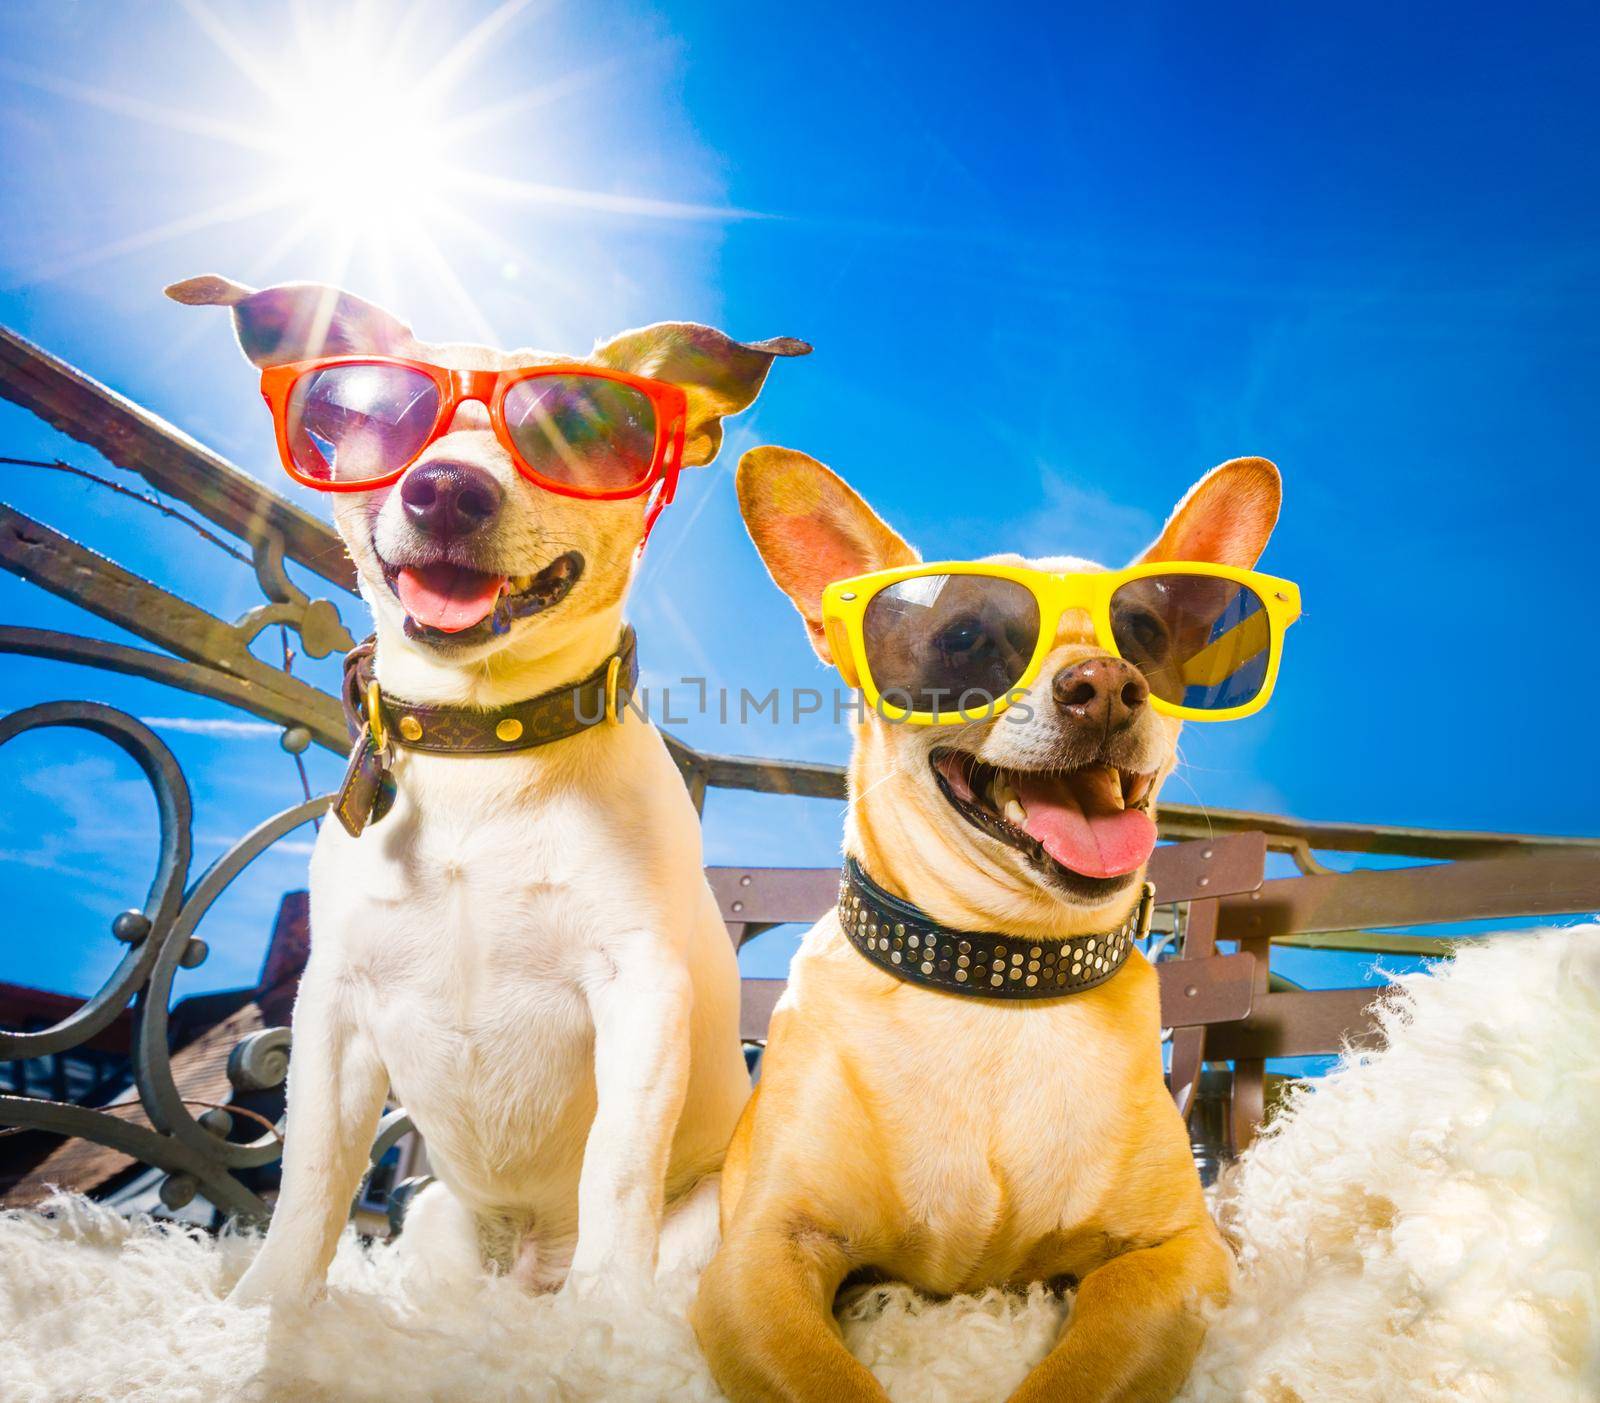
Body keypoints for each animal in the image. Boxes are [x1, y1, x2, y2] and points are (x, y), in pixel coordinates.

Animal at [168, 273, 806, 1305]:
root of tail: (527, 1261)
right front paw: (263, 1309)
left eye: (576, 427)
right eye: (386, 417)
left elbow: (617, 1169)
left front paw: (603, 1324)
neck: (488, 747)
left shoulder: (641, 991)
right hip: (436, 1221)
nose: (447, 488)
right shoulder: (334, 1007)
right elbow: (310, 1180)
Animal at [694, 447, 1280, 1401]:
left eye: (1145, 634)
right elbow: (831, 1381)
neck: (995, 972)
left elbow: (1076, 1375)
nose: (1107, 684)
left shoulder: (1175, 1256)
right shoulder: (758, 1260)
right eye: (966, 637)